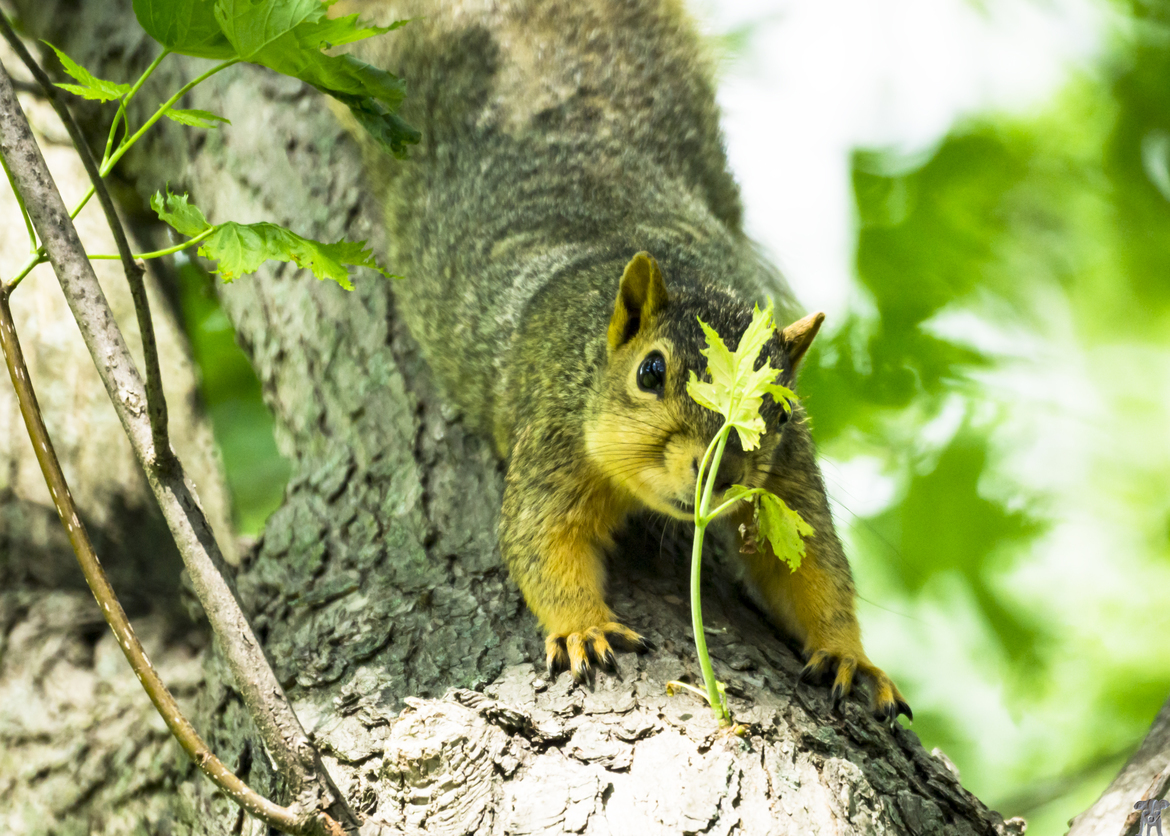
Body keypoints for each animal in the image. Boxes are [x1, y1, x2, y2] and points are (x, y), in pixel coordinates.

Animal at [349, 0, 911, 722]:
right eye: (650, 373)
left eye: (780, 413)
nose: (722, 472)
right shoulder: (554, 436)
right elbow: (542, 542)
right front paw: (583, 626)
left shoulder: (787, 479)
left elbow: (810, 564)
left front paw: (850, 656)